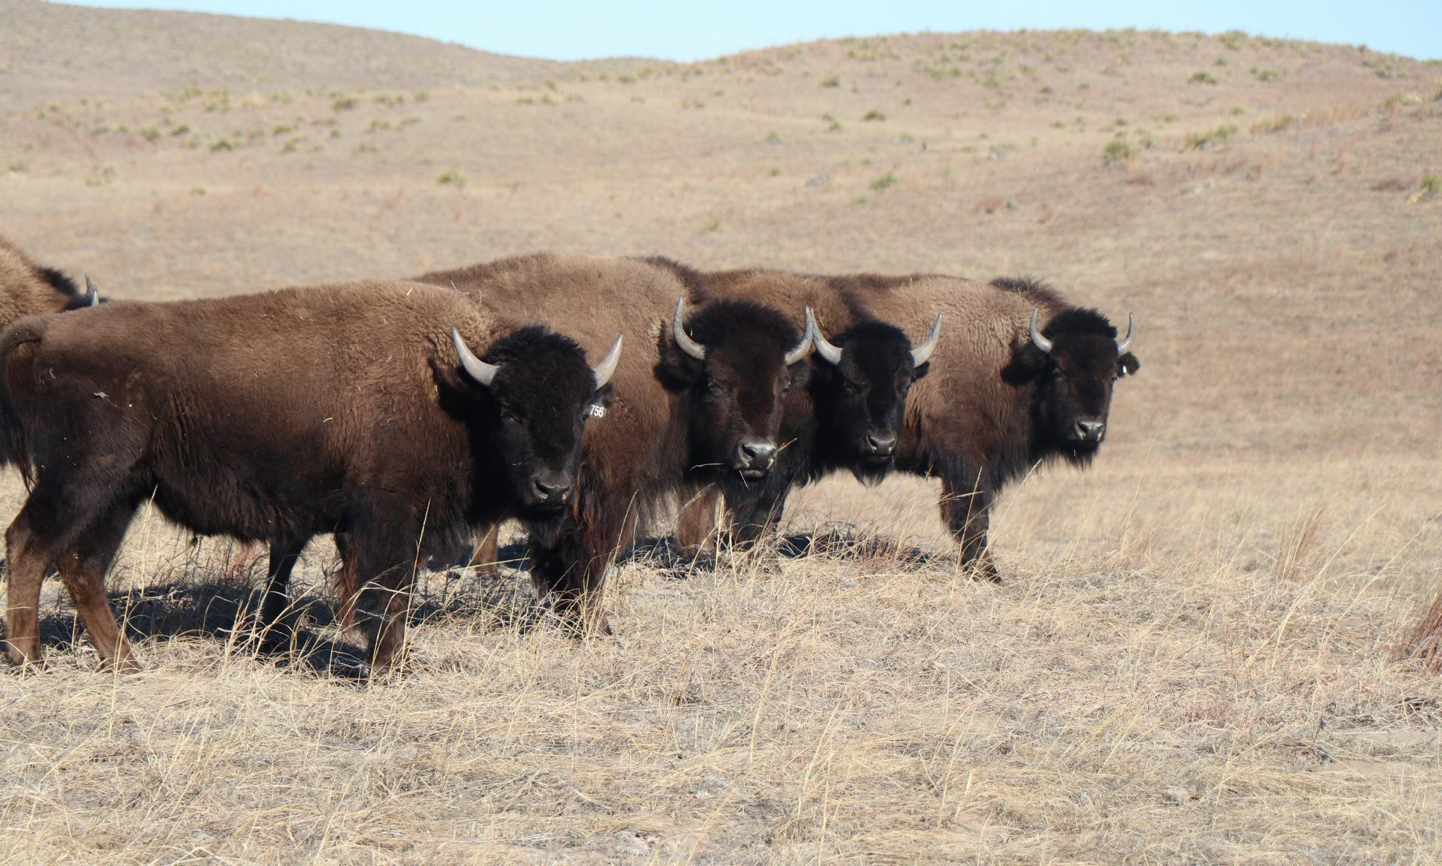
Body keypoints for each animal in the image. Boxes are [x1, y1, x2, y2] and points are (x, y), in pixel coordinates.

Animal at [1, 278, 620, 668]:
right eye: (511, 411)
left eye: (581, 411)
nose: (553, 489)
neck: (455, 389)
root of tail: (48, 332)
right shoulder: (386, 518)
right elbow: (385, 592)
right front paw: (391, 666)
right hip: (80, 482)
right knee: (29, 545)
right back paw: (31, 660)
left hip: (120, 493)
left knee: (81, 565)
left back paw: (124, 663)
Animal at [418, 253, 819, 631]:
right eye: (716, 382)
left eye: (784, 384)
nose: (758, 454)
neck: (663, 365)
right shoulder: (604, 492)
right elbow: (589, 556)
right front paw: (595, 625)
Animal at [674, 273, 1136, 576]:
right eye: (1059, 370)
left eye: (1112, 374)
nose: (1090, 429)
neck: (1009, 359)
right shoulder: (968, 465)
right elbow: (972, 519)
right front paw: (987, 574)